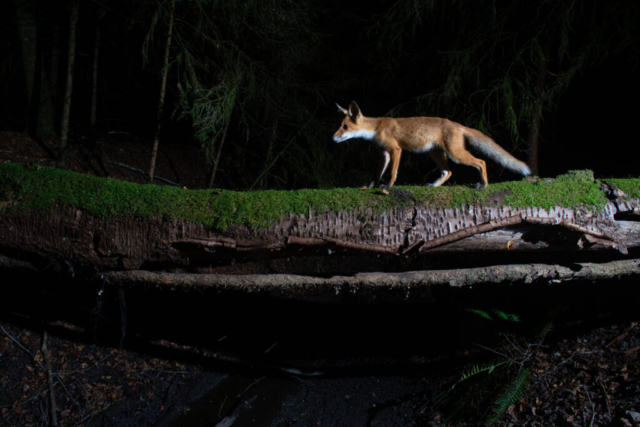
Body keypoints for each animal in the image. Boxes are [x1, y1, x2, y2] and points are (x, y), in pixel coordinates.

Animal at [332, 101, 532, 190]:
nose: (333, 138)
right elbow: (376, 174)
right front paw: (370, 186)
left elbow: (392, 173)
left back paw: (484, 185)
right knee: (448, 172)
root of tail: (458, 124)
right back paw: (434, 185)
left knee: (481, 162)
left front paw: (388, 186)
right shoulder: (384, 154)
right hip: (435, 154)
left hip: (455, 154)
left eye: (345, 127)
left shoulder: (396, 150)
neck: (377, 127)